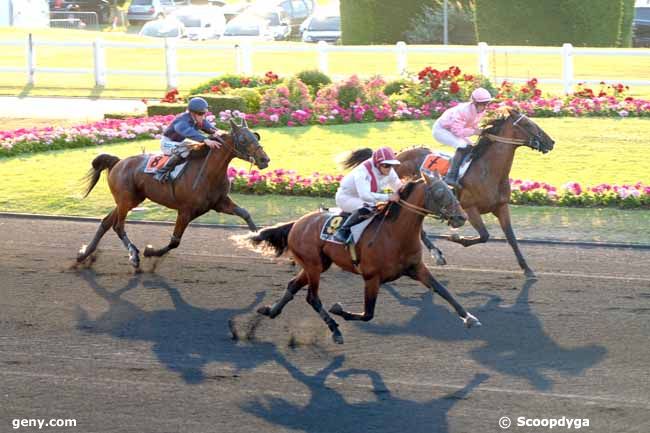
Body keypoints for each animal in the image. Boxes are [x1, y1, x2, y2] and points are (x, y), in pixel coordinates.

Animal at [78, 117, 268, 266]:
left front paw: (259, 238)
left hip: (131, 199)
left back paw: (84, 254)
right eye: (243, 139)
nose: (265, 159)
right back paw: (133, 255)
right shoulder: (185, 211)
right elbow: (175, 241)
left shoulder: (219, 203)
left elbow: (245, 213)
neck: (207, 172)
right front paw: (150, 251)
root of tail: (118, 162)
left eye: (255, 136)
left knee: (106, 222)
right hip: (126, 200)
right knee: (118, 226)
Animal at [246, 171, 478, 344]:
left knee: (293, 285)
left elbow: (443, 290)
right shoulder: (371, 278)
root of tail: (297, 223)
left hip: (318, 264)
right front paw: (339, 310)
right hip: (313, 265)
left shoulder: (416, 268)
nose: (461, 217)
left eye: (451, 190)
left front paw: (469, 318)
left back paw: (271, 311)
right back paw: (335, 330)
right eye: (439, 191)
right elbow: (368, 314)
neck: (394, 234)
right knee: (312, 297)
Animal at [344, 106, 552, 278]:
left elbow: (511, 238)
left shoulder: (501, 207)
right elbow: (484, 235)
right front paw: (455, 236)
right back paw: (436, 253)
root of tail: (397, 155)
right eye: (528, 124)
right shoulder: (470, 208)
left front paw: (527, 269)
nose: (551, 142)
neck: (488, 172)